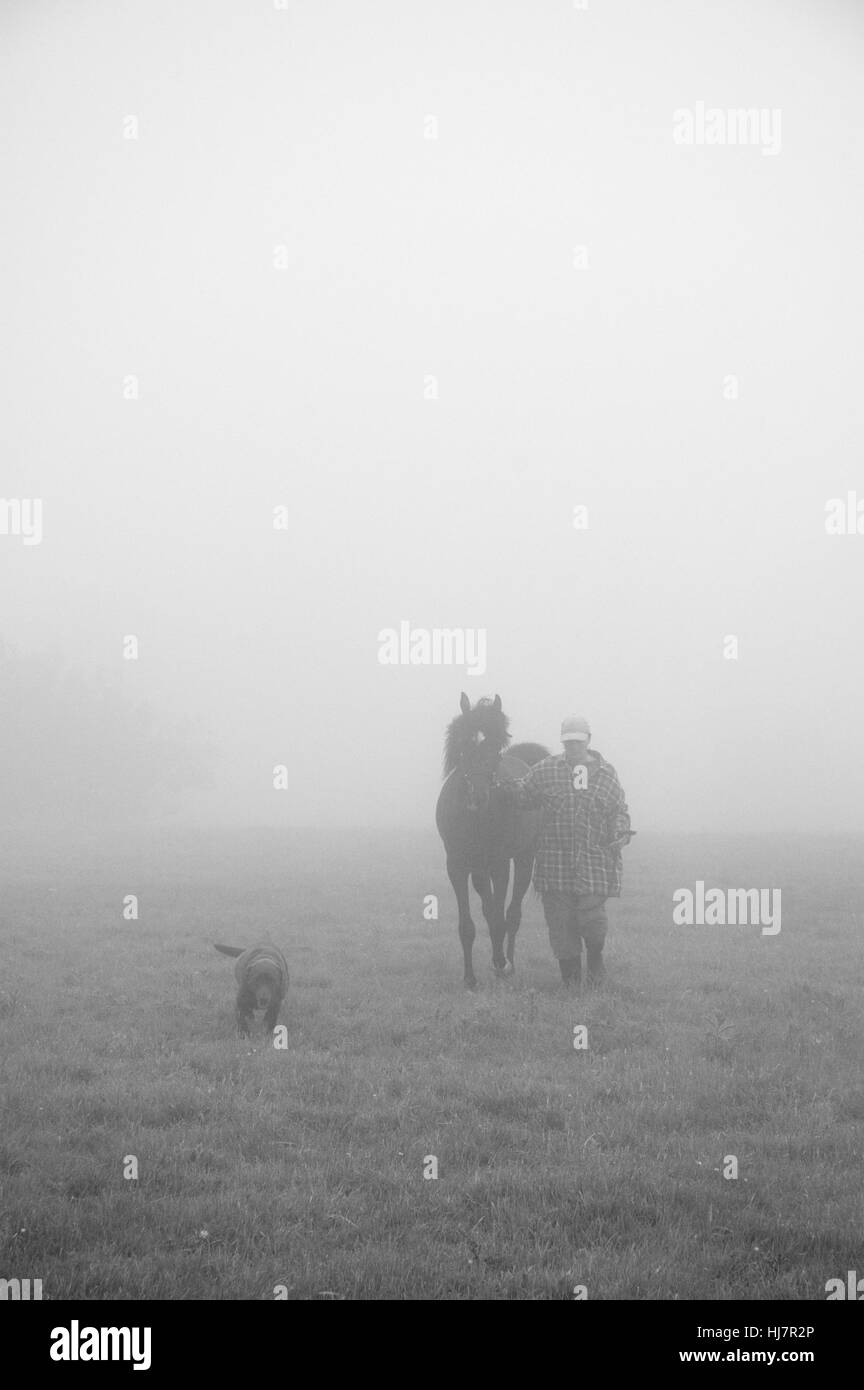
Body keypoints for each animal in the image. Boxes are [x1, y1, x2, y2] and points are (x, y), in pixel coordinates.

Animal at [436, 695, 552, 989]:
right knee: (490, 908)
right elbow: (468, 924)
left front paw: (500, 964)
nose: (478, 797)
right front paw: (469, 978)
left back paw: (507, 964)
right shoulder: (456, 865)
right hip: (480, 867)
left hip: (523, 859)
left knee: (511, 914)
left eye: (496, 749)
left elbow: (500, 917)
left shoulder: (500, 863)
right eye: (464, 744)